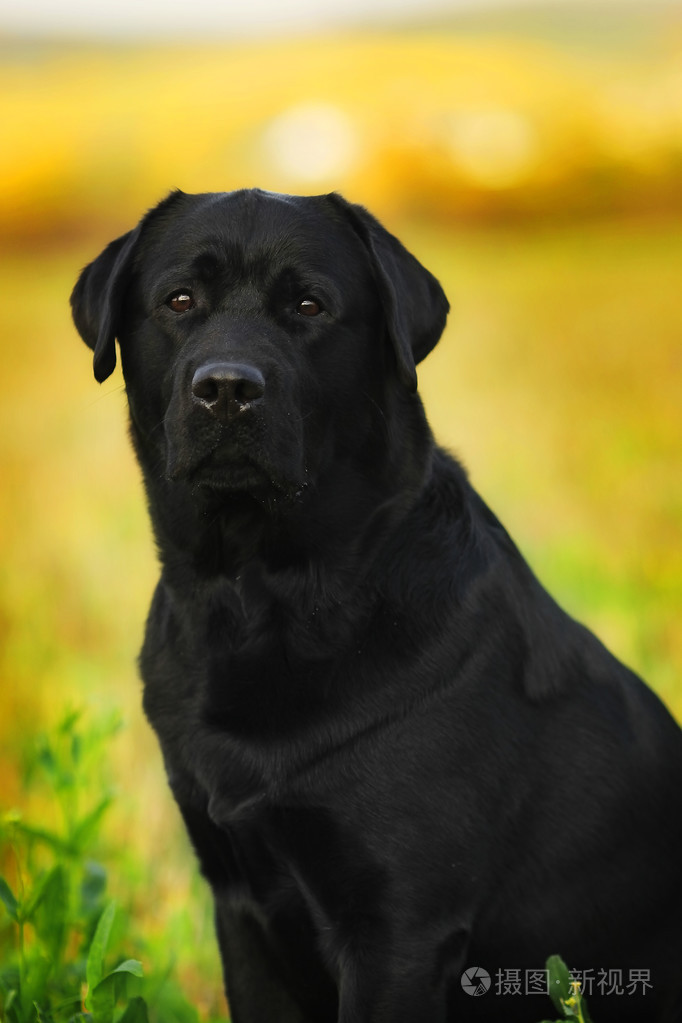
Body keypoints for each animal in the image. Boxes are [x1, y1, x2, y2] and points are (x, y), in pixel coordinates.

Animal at [72, 190, 682, 1014]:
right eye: (179, 300)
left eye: (309, 305)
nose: (227, 387)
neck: (262, 594)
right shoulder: (240, 901)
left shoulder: (397, 928)